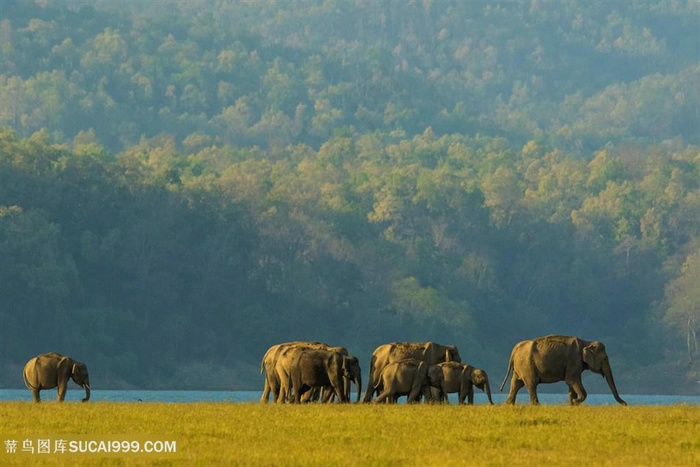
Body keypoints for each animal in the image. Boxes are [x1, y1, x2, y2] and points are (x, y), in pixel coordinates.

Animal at [498, 336, 628, 406]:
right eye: (605, 358)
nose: (625, 404)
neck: (586, 342)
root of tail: (514, 350)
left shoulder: (575, 365)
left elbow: (571, 386)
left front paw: (571, 403)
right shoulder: (574, 360)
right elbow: (572, 381)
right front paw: (575, 401)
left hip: (519, 368)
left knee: (516, 384)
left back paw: (508, 405)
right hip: (527, 366)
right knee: (531, 384)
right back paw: (537, 405)